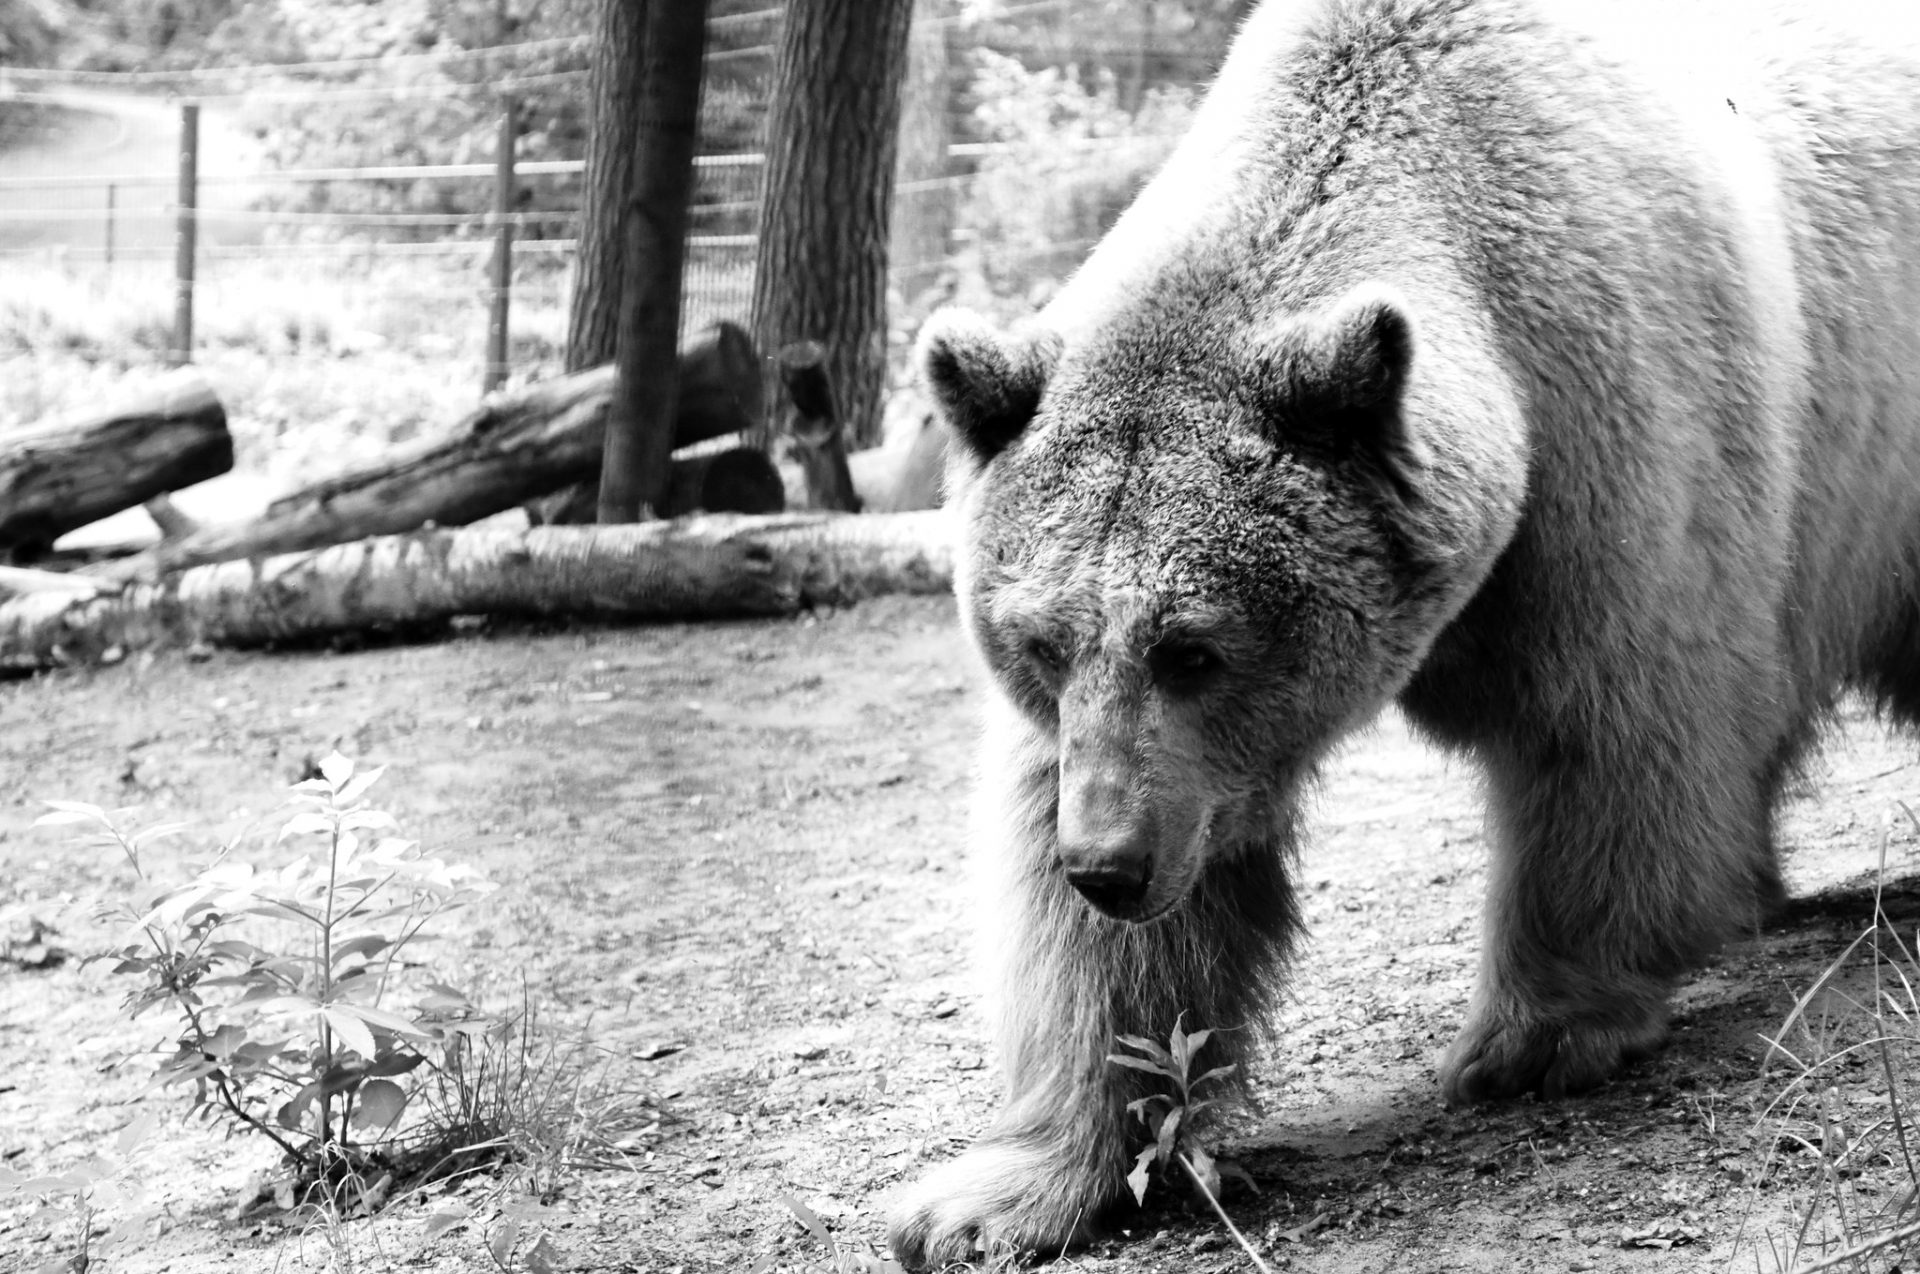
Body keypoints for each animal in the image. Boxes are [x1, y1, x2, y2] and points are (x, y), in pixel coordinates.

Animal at [890, 0, 1920, 1258]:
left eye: (1194, 647)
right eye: (1041, 640)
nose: (1108, 863)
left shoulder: (1616, 441)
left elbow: (1610, 735)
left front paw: (1534, 1033)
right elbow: (1098, 932)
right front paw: (997, 1190)